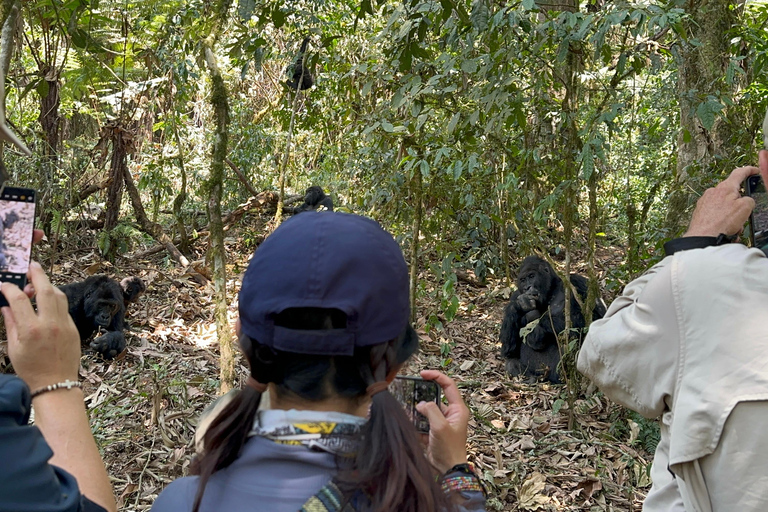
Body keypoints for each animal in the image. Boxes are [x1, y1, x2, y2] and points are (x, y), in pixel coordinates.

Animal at [500, 256, 604, 384]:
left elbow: (597, 318)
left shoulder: (578, 282)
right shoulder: (515, 295)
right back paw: (529, 378)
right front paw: (520, 305)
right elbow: (509, 349)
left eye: (531, 276)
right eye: (523, 280)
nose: (527, 287)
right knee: (511, 363)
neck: (550, 291)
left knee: (568, 340)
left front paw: (539, 330)